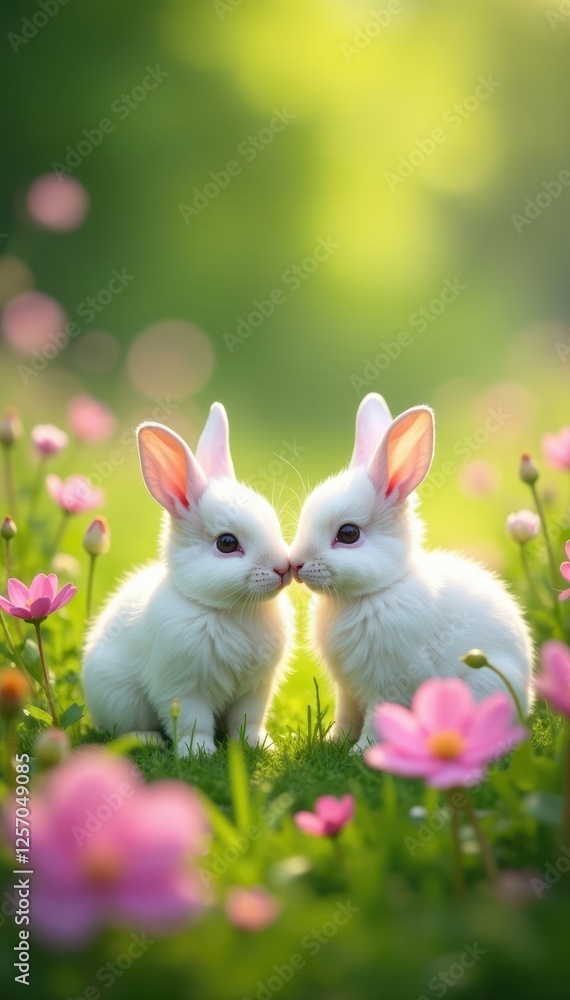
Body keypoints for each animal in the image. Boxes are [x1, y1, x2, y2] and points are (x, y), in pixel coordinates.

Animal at [82, 403, 293, 755]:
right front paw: (199, 753)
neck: (231, 610)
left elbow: (247, 720)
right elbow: (194, 723)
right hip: (120, 700)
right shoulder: (182, 687)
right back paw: (148, 739)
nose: (283, 568)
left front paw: (258, 746)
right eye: (227, 543)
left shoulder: (256, 689)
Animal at [289, 393, 533, 749]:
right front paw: (334, 743)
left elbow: (378, 718)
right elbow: (347, 716)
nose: (295, 564)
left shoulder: (389, 683)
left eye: (348, 534)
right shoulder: (347, 689)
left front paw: (361, 751)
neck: (374, 593)